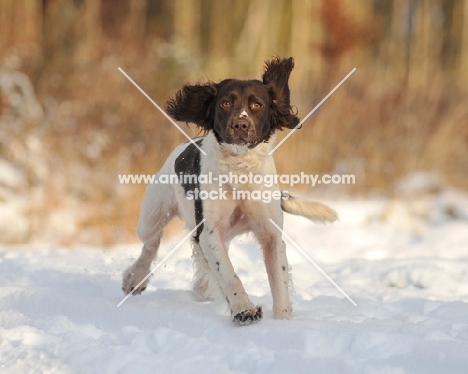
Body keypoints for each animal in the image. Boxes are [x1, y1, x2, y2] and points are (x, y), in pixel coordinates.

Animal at [122, 57, 338, 326]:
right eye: (225, 103)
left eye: (257, 104)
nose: (240, 124)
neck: (239, 168)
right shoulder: (210, 231)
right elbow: (227, 273)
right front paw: (244, 310)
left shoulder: (270, 233)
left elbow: (278, 282)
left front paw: (283, 320)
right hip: (152, 215)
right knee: (151, 243)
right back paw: (135, 278)